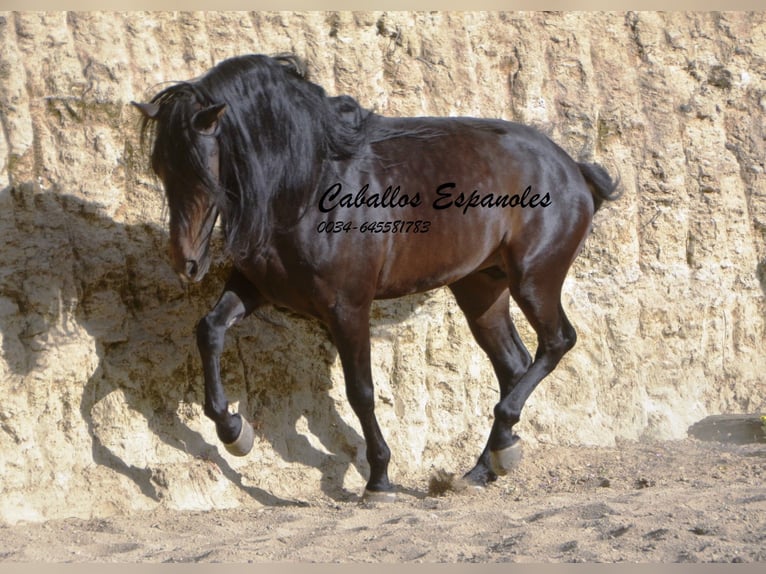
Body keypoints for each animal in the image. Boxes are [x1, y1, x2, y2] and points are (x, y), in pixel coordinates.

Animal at [134, 54, 624, 504]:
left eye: (202, 168)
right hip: (481, 289)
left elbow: (361, 392)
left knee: (556, 342)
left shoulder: (348, 306)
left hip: (534, 279)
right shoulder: (257, 288)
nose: (186, 263)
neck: (309, 185)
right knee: (514, 365)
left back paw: (500, 446)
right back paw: (488, 464)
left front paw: (379, 480)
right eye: (161, 168)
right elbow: (210, 330)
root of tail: (571, 167)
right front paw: (234, 431)